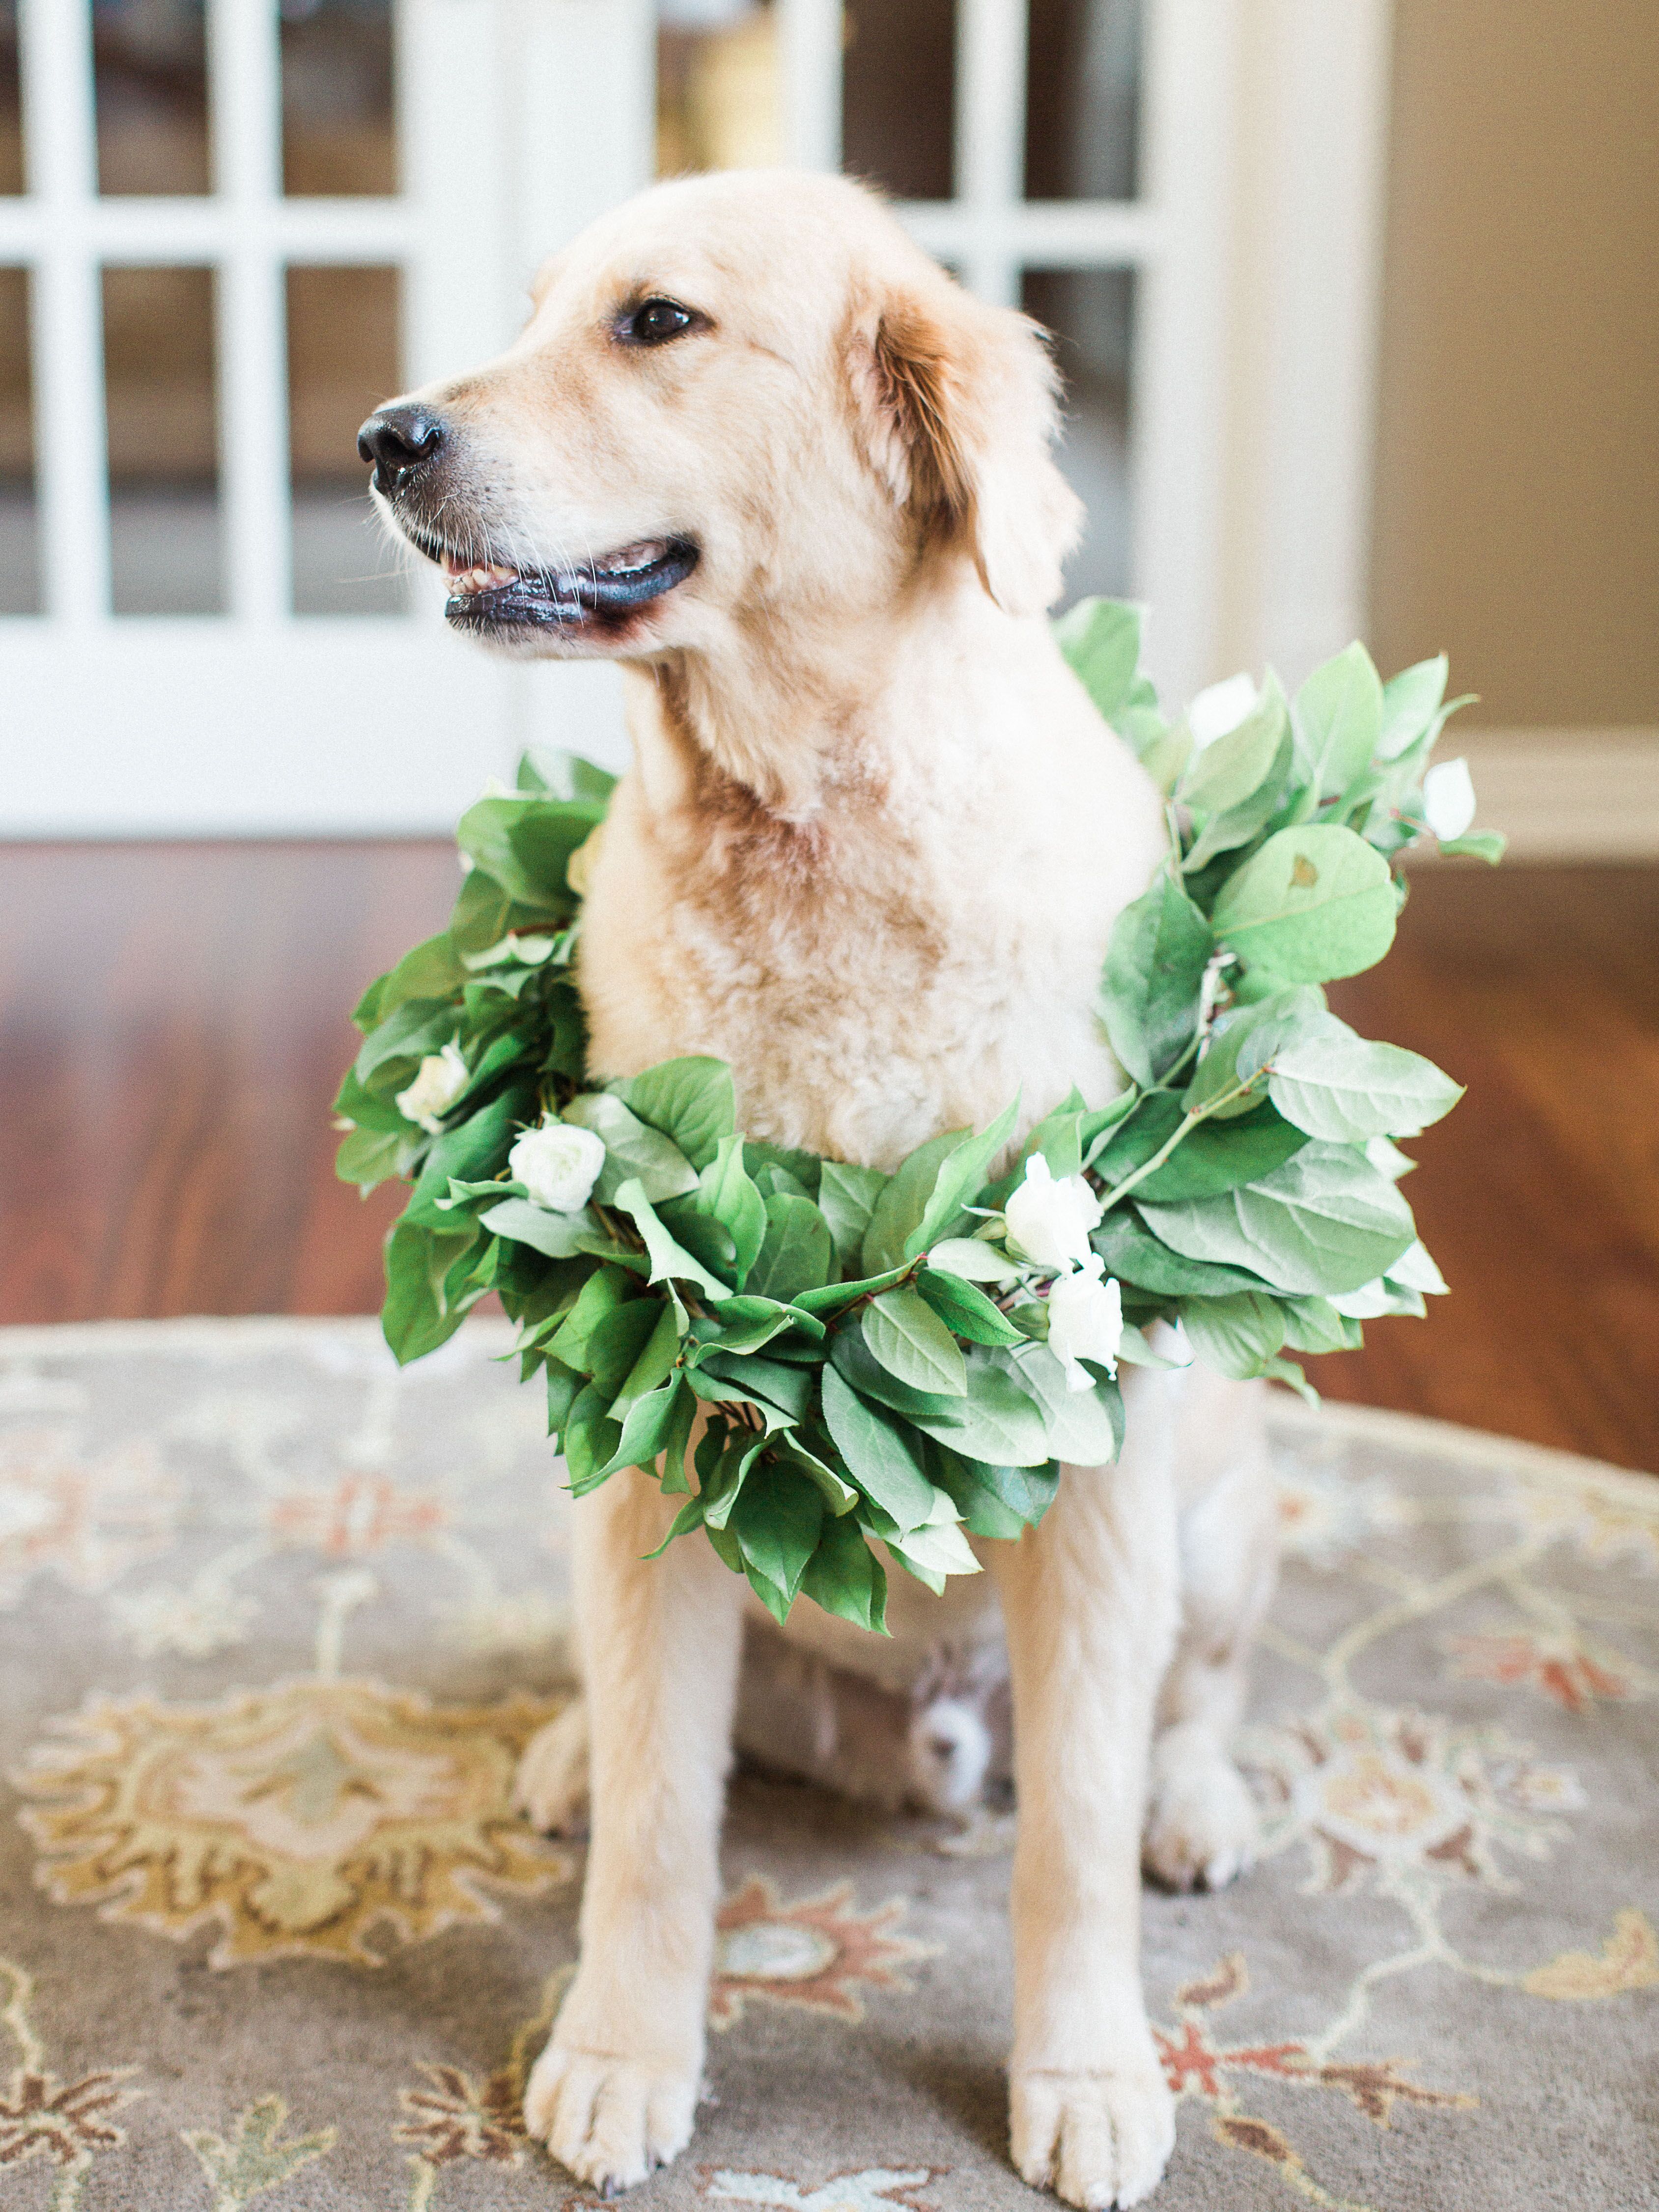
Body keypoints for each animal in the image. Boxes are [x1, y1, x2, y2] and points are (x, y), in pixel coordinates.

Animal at [360, 172, 1274, 2212]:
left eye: (657, 324)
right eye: (535, 312)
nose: (385, 440)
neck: (808, 823)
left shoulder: (1100, 1451)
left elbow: (1073, 1831)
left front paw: (1086, 2072)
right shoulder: (662, 1394)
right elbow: (661, 1829)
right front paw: (622, 2051)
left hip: (1216, 1512)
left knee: (1186, 1706)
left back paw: (1200, 1799)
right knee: (640, 1732)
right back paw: (562, 1756)